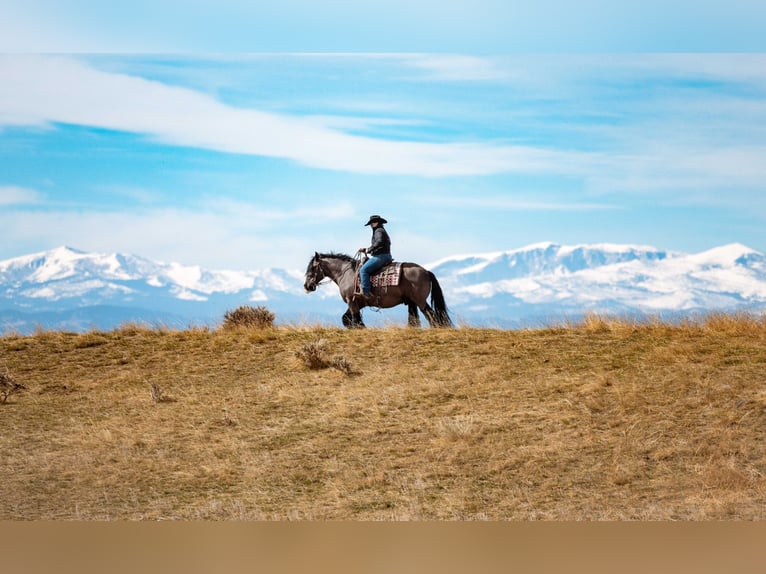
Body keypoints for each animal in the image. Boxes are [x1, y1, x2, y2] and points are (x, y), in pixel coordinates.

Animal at [304, 252, 453, 328]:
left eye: (312, 268)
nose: (307, 286)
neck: (345, 273)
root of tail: (426, 272)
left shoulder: (351, 302)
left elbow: (355, 319)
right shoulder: (358, 303)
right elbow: (346, 319)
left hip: (420, 301)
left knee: (432, 316)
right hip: (412, 302)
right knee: (415, 319)